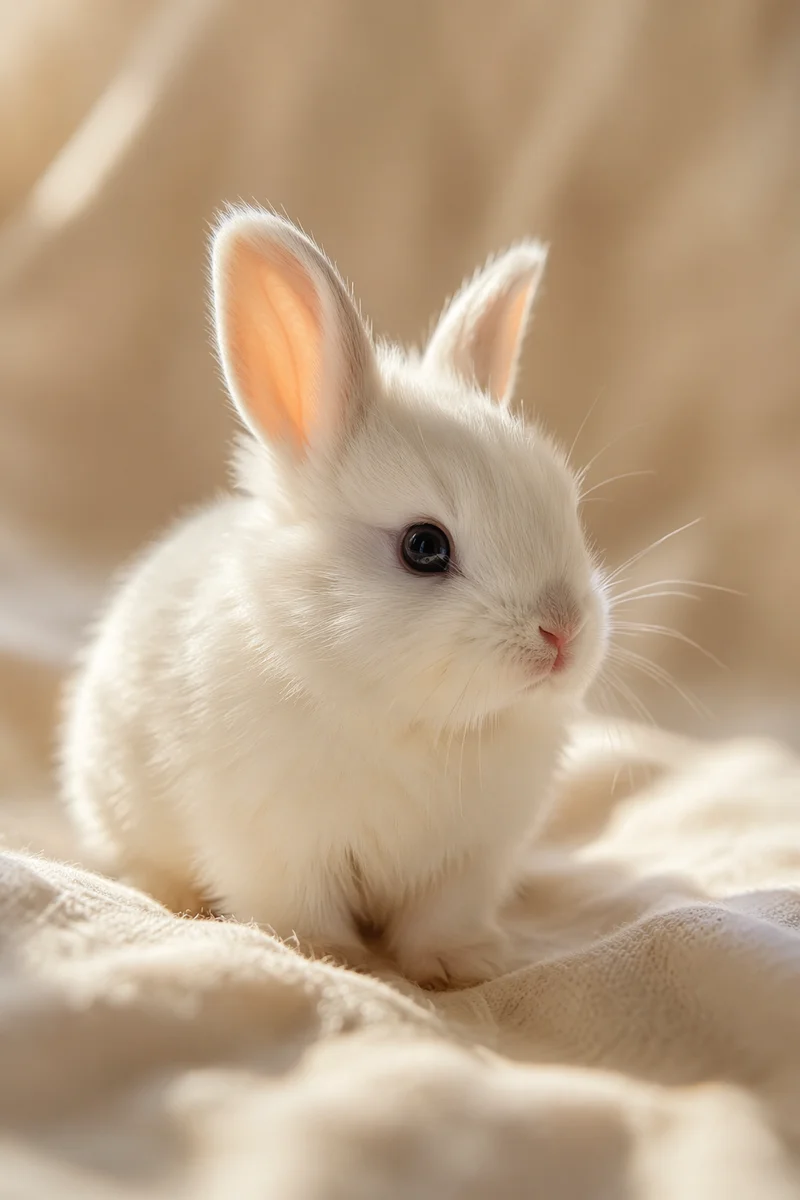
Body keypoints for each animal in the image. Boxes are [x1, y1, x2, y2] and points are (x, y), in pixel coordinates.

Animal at [59, 207, 609, 988]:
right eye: (423, 547)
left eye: (566, 508)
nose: (562, 632)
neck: (422, 725)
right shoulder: (279, 844)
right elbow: (300, 909)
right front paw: (333, 959)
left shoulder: (470, 859)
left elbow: (442, 916)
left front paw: (461, 965)